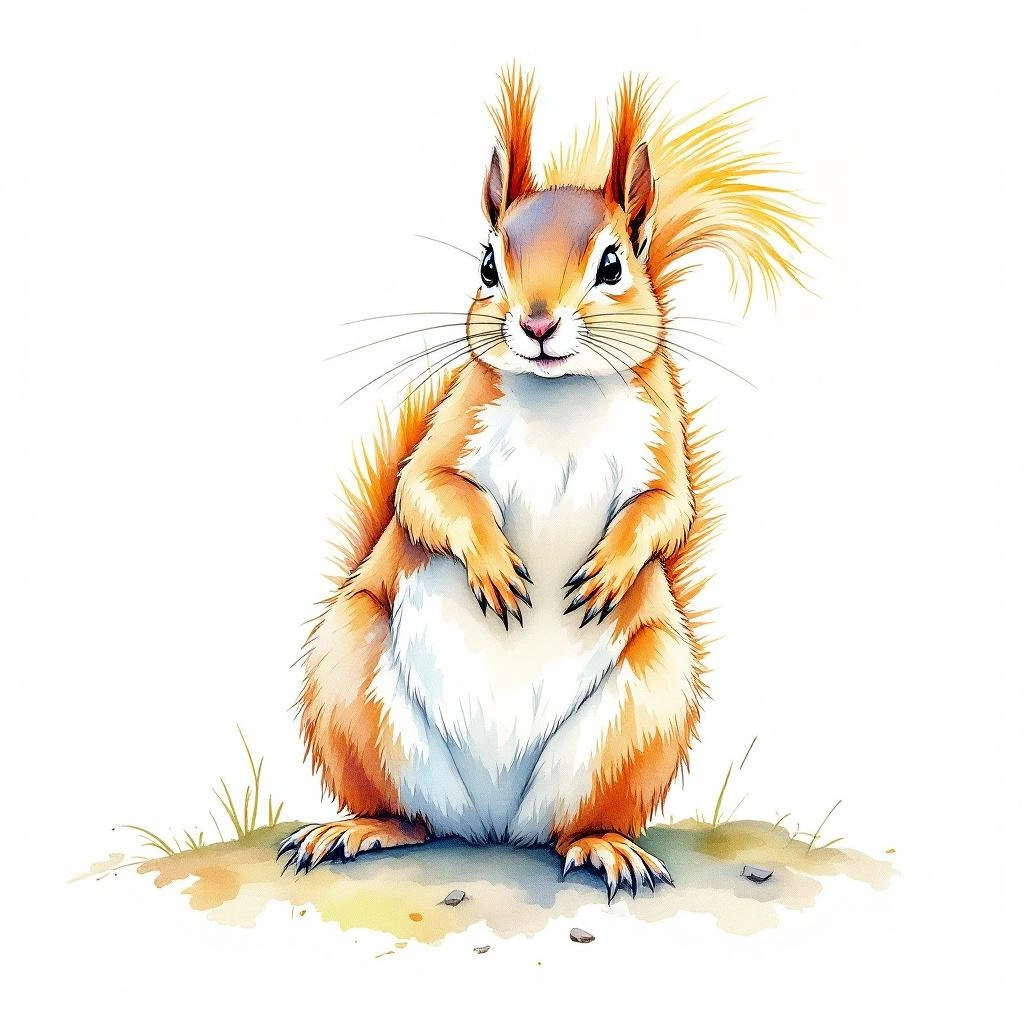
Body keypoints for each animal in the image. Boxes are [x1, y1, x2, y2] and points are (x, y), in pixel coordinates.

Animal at [280, 68, 808, 899]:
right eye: (487, 265)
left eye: (614, 265)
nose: (536, 324)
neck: (561, 398)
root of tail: (492, 823)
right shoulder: (452, 430)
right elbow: (426, 493)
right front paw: (494, 565)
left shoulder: (663, 443)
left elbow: (666, 512)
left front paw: (611, 569)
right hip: (347, 677)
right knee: (410, 815)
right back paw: (358, 828)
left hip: (645, 706)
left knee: (572, 822)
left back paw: (604, 846)